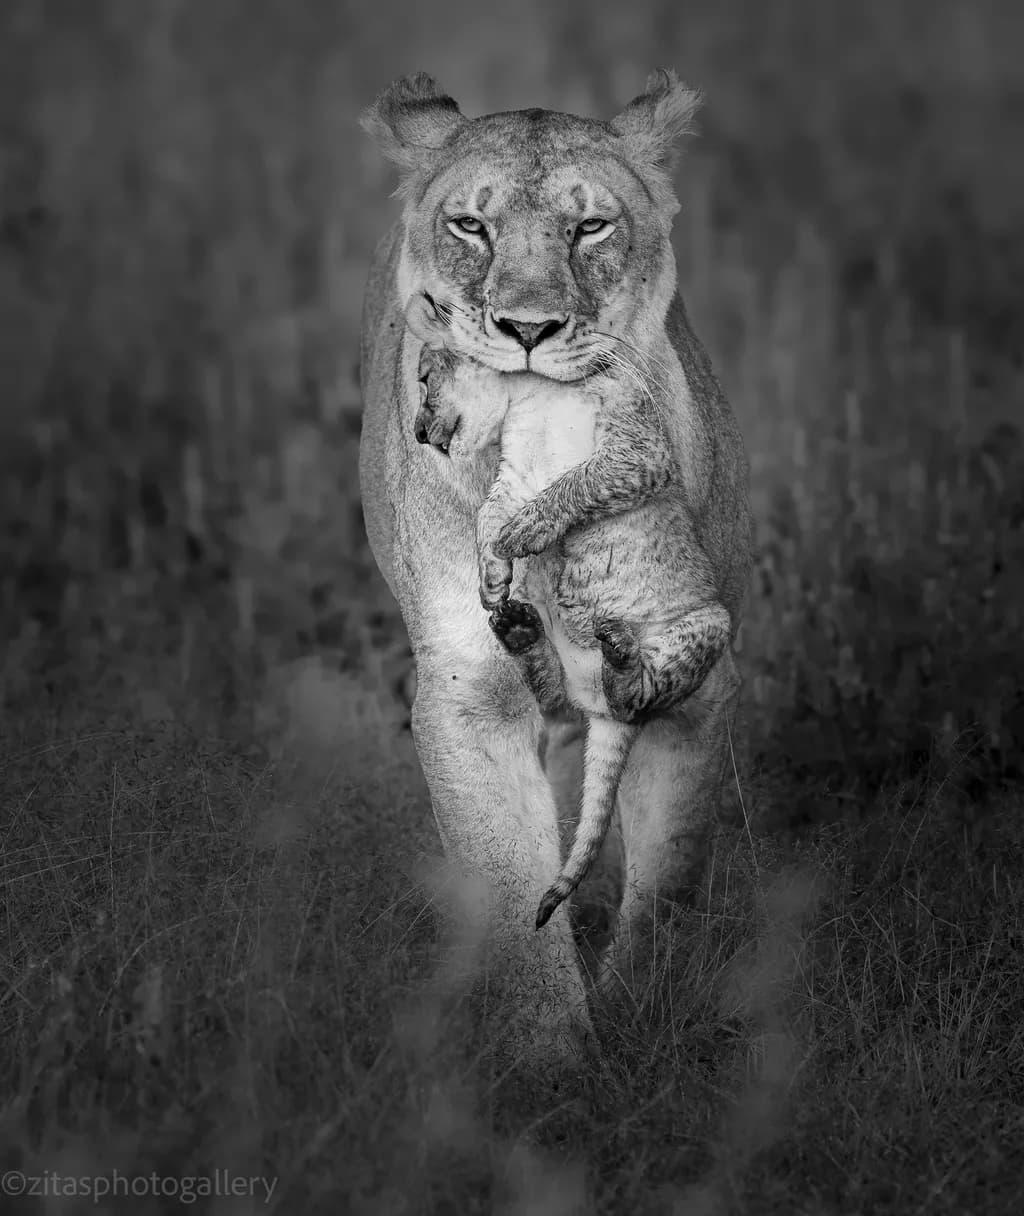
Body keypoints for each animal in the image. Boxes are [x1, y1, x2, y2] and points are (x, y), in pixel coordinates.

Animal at [406, 300, 733, 931]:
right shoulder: (514, 474)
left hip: (710, 625)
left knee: (639, 698)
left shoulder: (638, 450)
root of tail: (603, 709)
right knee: (556, 701)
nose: (416, 430)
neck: (530, 391)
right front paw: (492, 578)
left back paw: (623, 658)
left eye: (425, 380)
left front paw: (523, 534)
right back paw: (517, 628)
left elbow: (575, 485)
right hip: (564, 669)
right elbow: (486, 516)